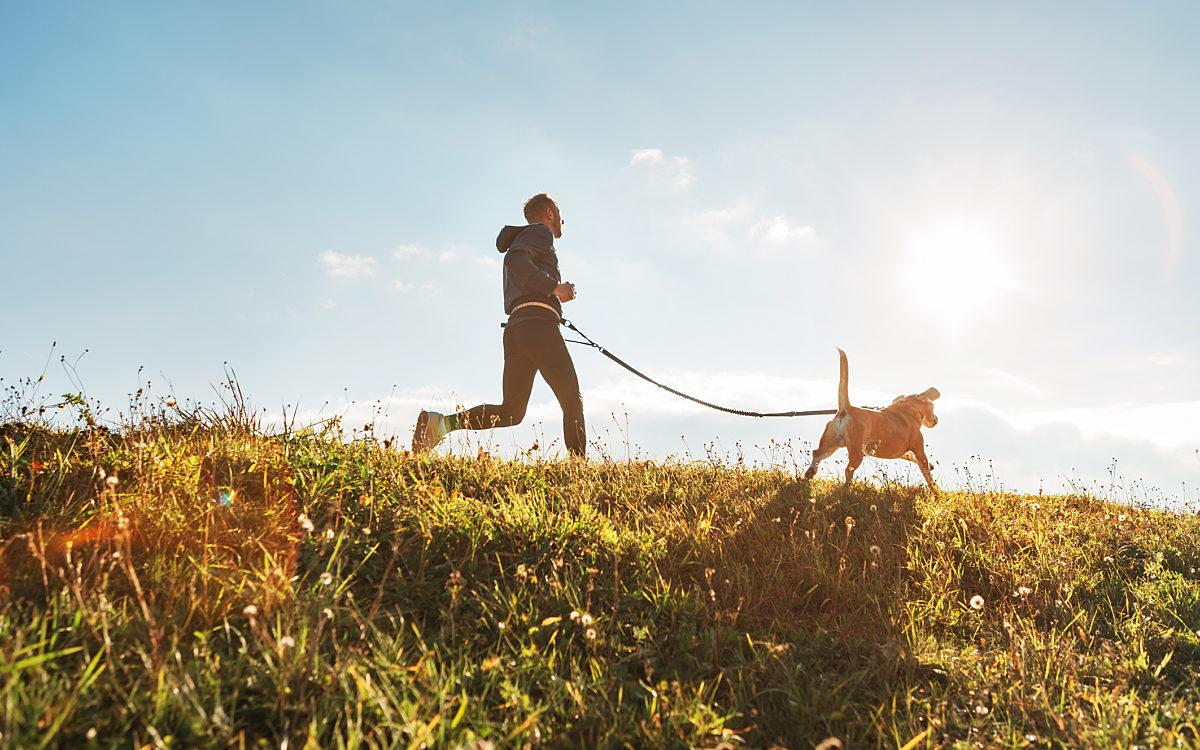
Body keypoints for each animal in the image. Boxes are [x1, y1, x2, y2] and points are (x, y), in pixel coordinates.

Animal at [801, 348, 940, 489]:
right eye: (932, 406)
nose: (937, 419)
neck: (906, 407)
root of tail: (847, 408)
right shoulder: (919, 450)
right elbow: (927, 474)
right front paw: (935, 490)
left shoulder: (903, 452)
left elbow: (911, 457)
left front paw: (931, 466)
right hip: (856, 452)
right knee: (848, 470)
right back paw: (848, 488)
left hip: (830, 444)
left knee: (816, 454)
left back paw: (809, 475)